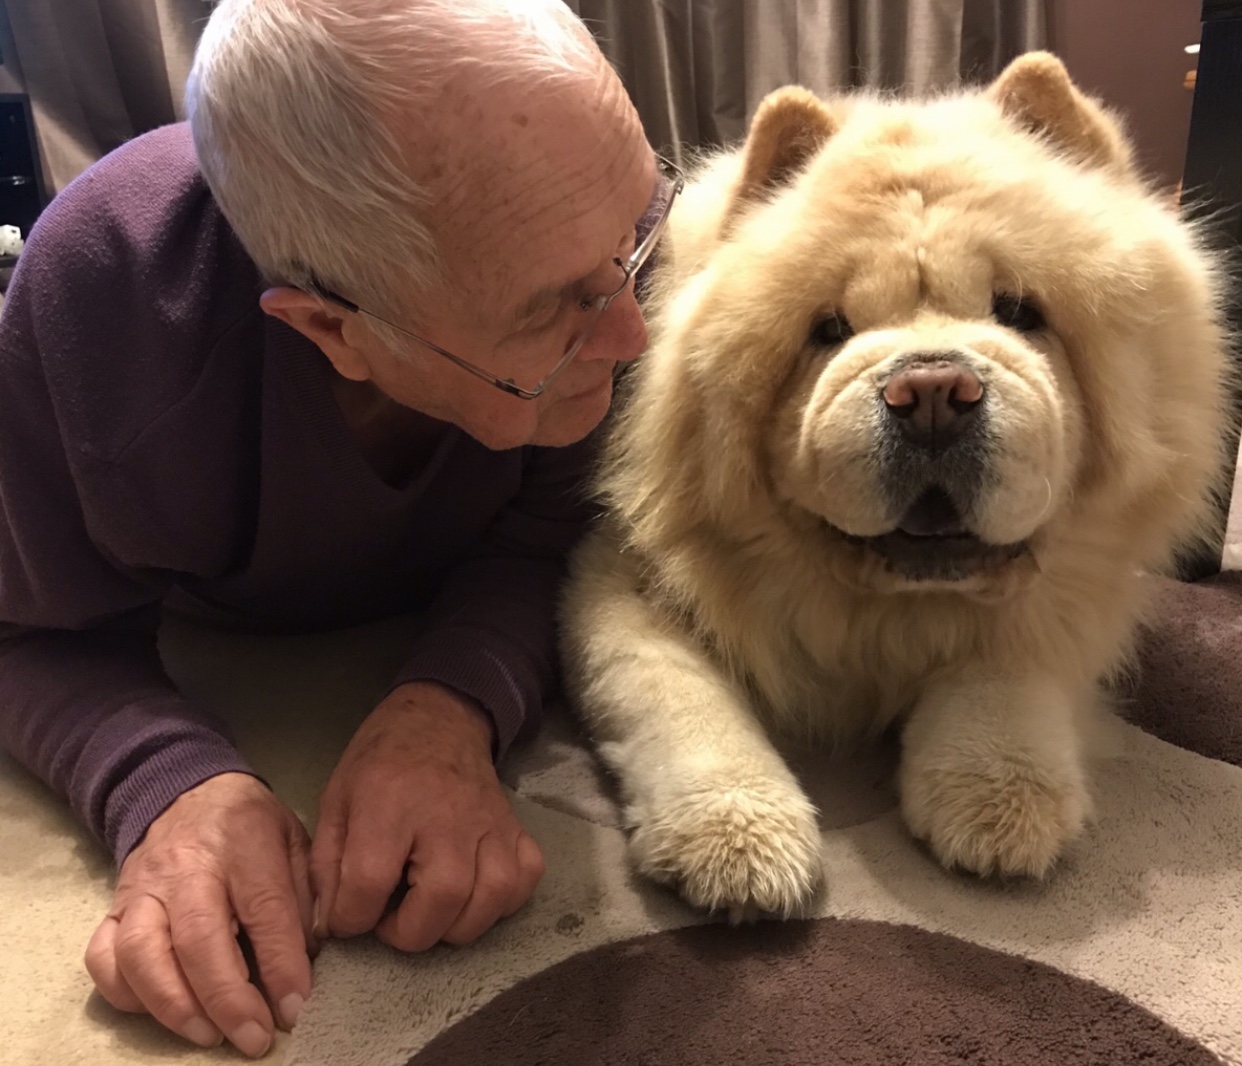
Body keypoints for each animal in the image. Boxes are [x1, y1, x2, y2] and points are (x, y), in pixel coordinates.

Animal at [563, 51, 1232, 914]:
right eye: (829, 330)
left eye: (1019, 310)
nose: (935, 394)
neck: (888, 616)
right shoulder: (619, 575)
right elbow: (675, 693)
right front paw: (739, 840)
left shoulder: (1056, 596)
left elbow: (1007, 657)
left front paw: (998, 795)